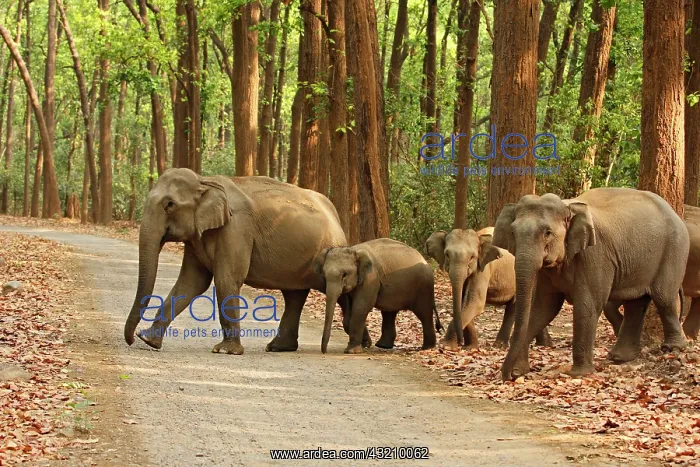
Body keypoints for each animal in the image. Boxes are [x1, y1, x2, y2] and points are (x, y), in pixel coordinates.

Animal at [123, 168, 372, 354]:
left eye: (169, 205)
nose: (132, 339)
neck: (206, 181)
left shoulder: (236, 228)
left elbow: (226, 279)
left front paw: (226, 351)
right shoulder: (198, 236)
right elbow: (191, 283)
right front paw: (149, 340)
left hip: (330, 250)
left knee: (338, 292)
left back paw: (362, 345)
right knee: (294, 295)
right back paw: (278, 347)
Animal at [493, 188, 688, 380]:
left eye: (547, 232)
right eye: (513, 232)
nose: (508, 376)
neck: (568, 205)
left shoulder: (595, 255)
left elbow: (588, 305)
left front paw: (579, 373)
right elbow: (544, 308)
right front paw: (520, 371)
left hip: (674, 250)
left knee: (664, 298)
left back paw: (673, 348)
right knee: (636, 304)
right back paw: (620, 357)